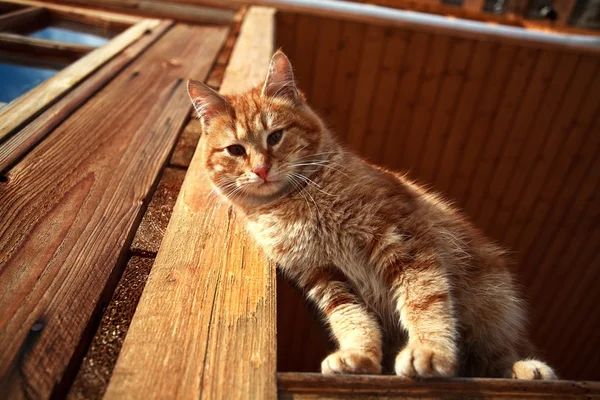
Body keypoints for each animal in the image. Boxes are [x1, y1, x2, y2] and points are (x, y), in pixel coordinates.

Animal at [189, 51, 556, 380]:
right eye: (235, 150)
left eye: (276, 136)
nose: (261, 170)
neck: (296, 203)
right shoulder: (322, 276)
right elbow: (351, 319)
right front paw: (360, 355)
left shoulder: (401, 240)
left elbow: (424, 299)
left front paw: (429, 349)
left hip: (490, 306)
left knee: (497, 357)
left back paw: (527, 369)